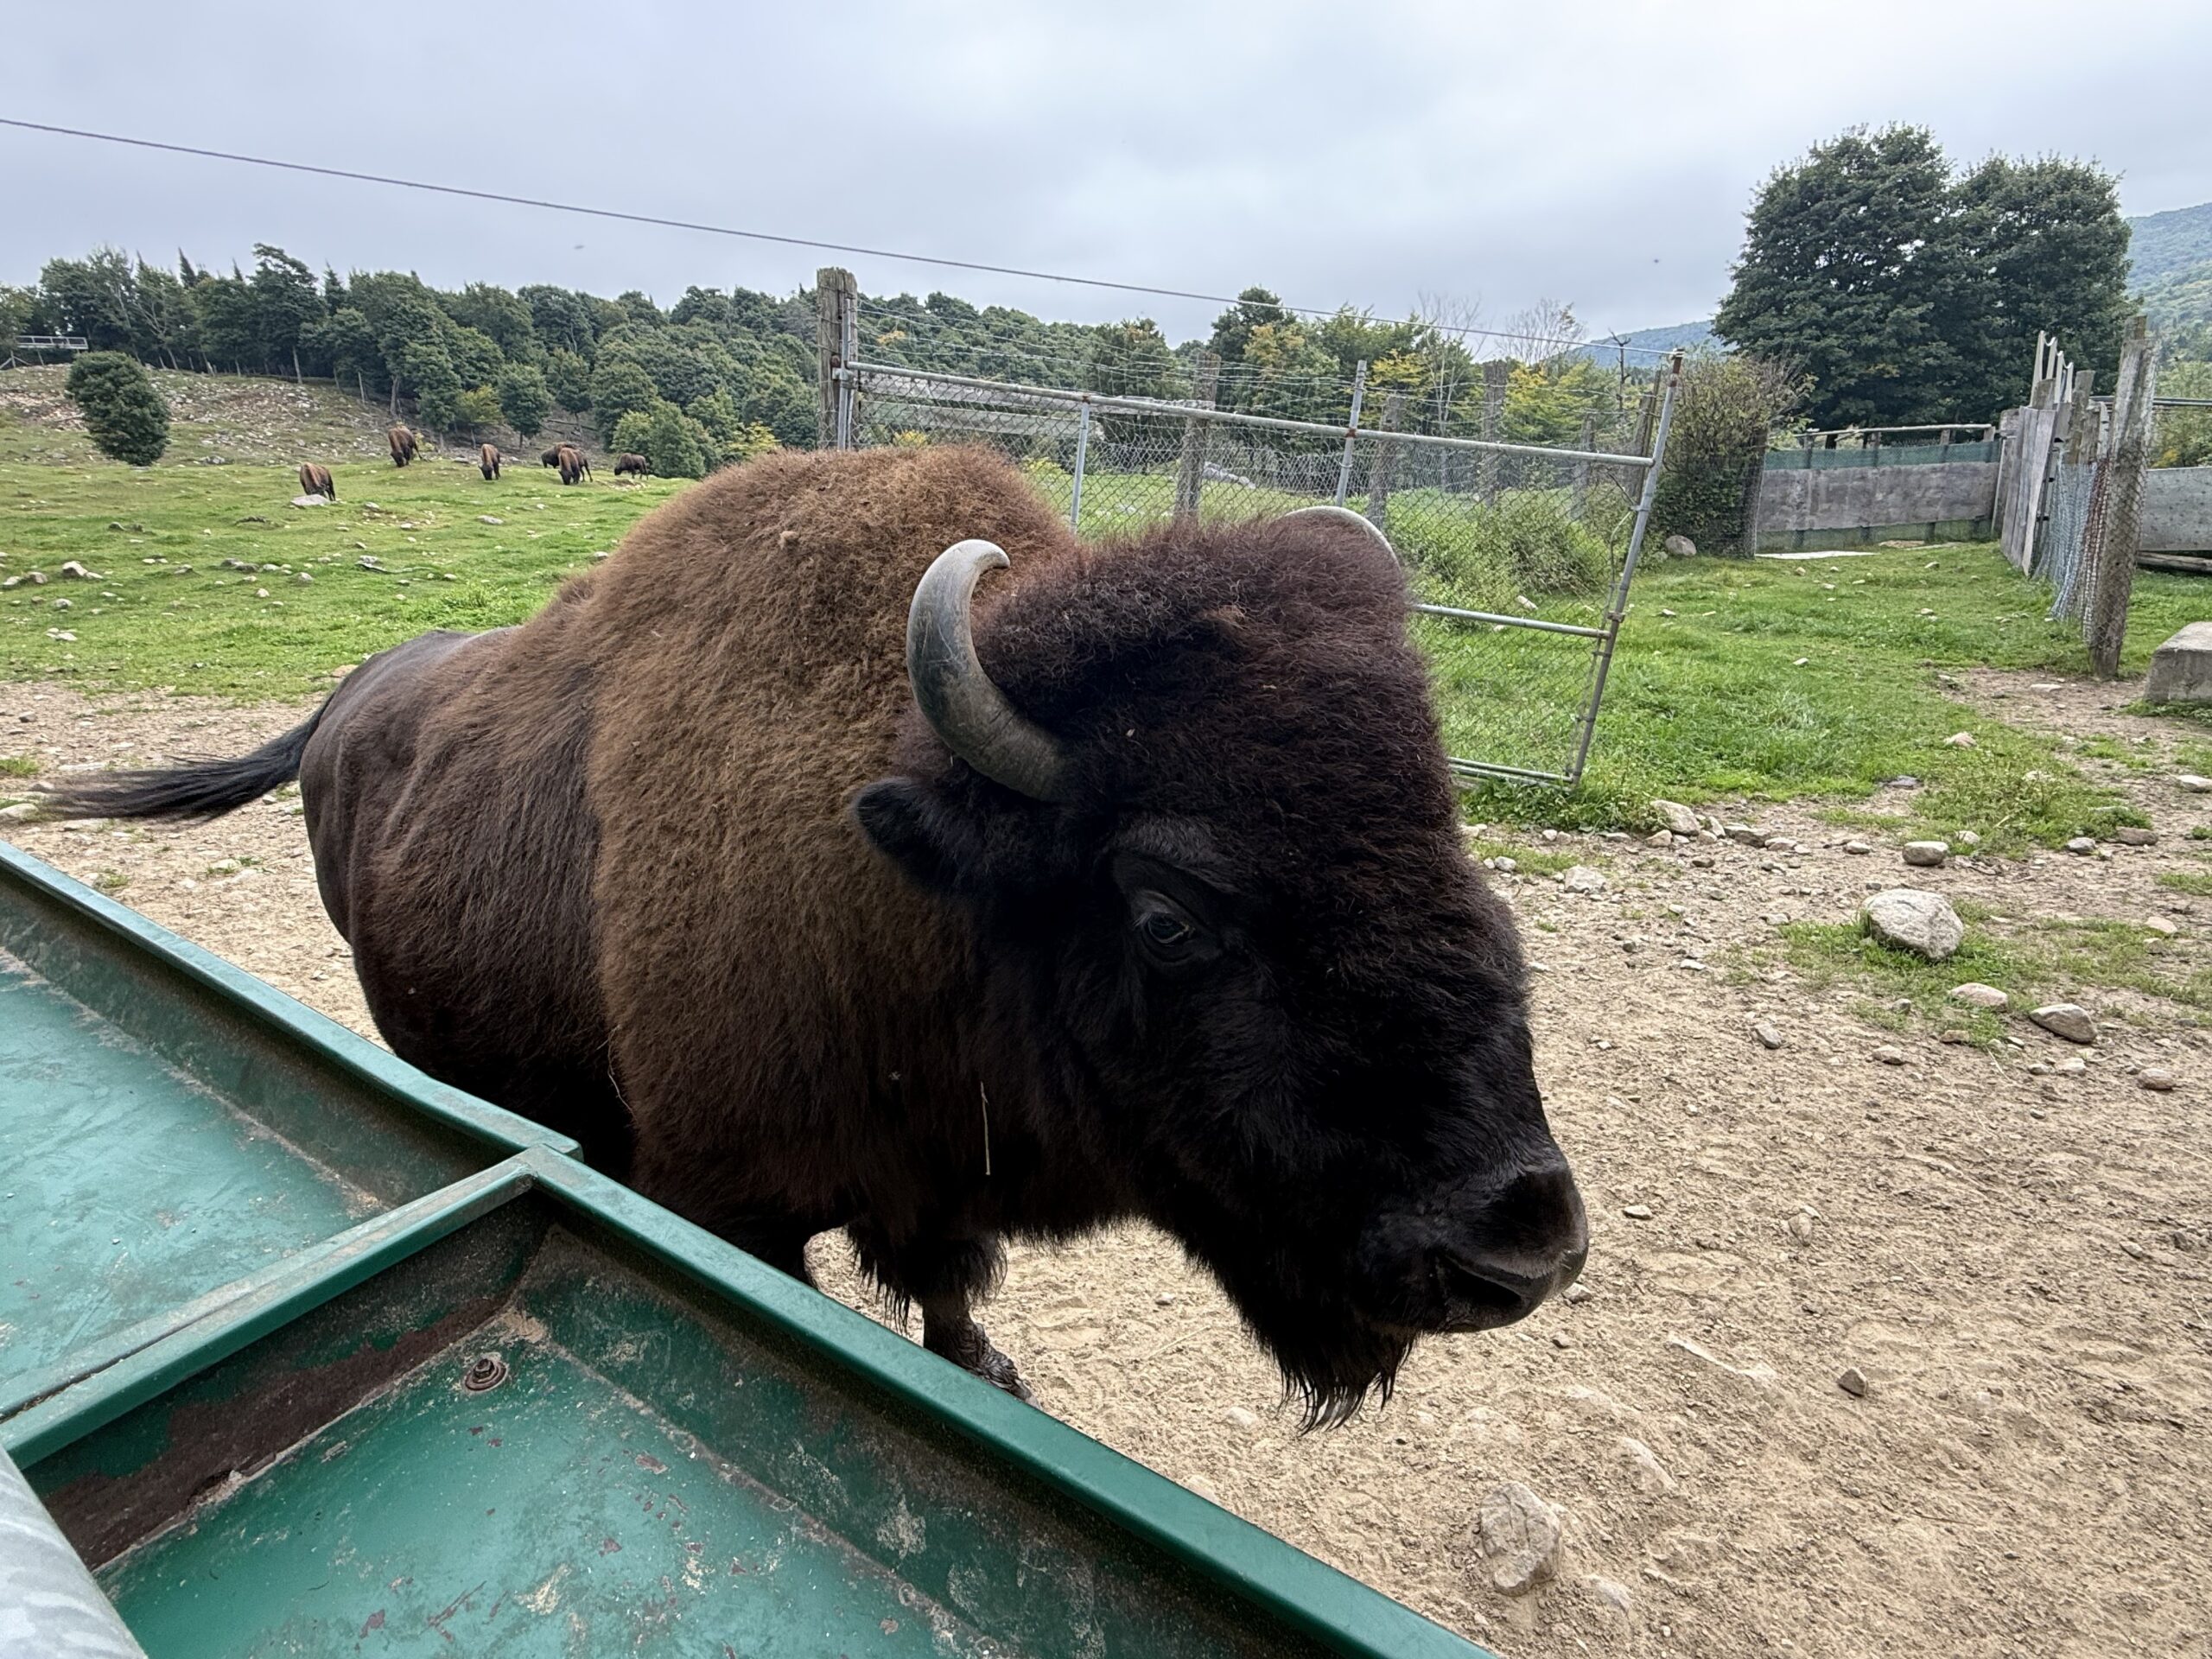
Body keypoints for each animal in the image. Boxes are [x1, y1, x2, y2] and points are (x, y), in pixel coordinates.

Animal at [48, 447, 1586, 1420]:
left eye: (1448, 824)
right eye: (1165, 912)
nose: (1519, 1245)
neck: (904, 873)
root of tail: (348, 697)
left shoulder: (942, 1178)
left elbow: (953, 1286)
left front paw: (989, 1370)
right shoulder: (728, 1199)